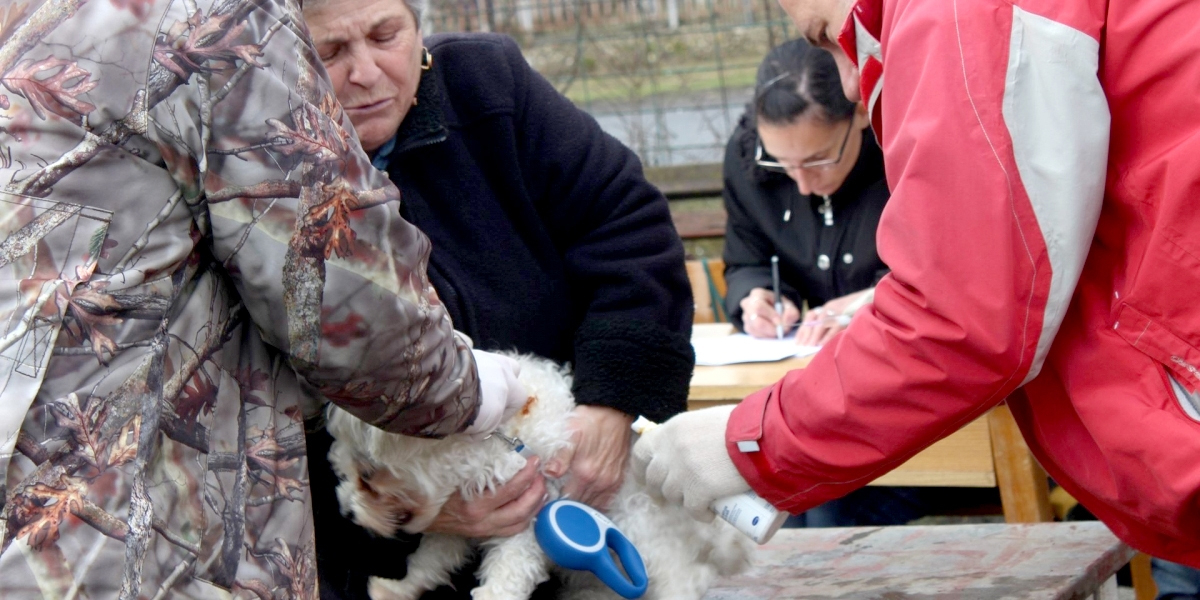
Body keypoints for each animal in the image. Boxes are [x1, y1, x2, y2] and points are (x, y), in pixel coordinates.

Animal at [321, 352, 748, 597]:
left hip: (650, 544)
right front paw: (396, 588)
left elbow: (507, 575)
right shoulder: (458, 525)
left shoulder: (527, 521)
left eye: (368, 477)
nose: (346, 513)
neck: (502, 440)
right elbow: (429, 561)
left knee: (685, 580)